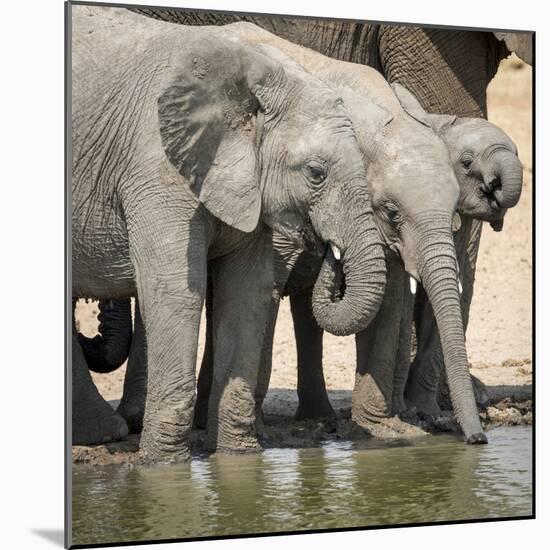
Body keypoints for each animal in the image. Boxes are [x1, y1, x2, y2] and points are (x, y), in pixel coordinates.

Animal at [71, 6, 388, 464]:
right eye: (316, 173)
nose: (330, 249)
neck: (260, 78)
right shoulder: (156, 168)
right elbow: (175, 292)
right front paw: (162, 468)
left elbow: (247, 292)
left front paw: (240, 458)